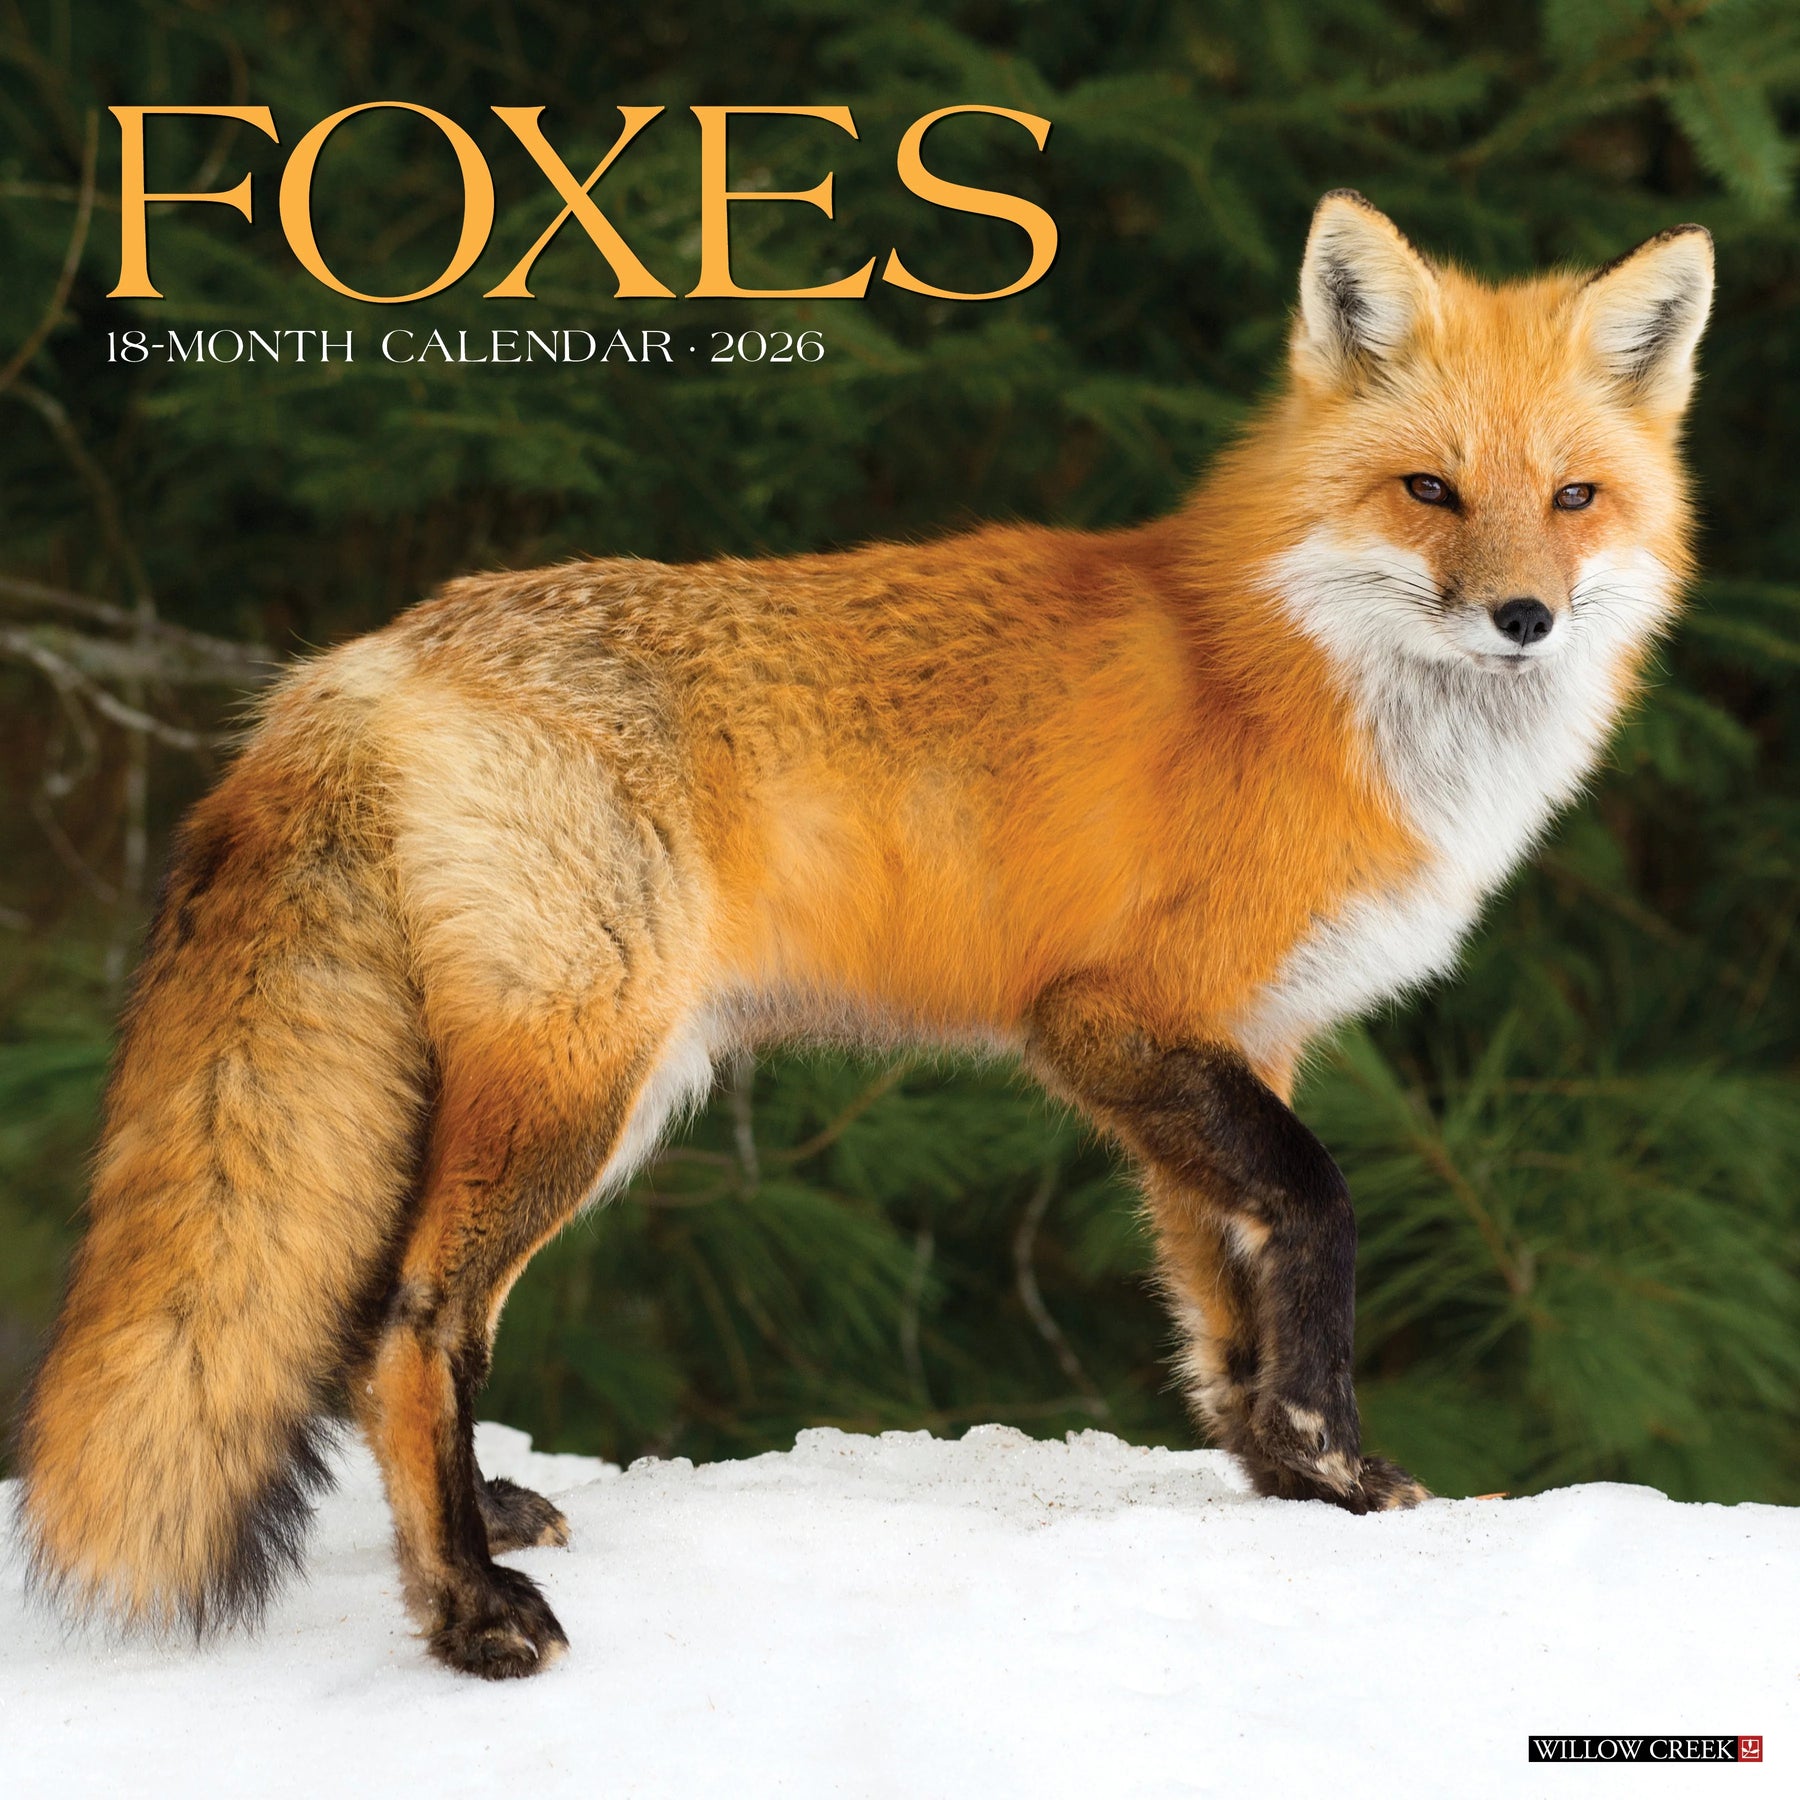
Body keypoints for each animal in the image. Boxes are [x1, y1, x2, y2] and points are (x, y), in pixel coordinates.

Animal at [14, 191, 1713, 1679]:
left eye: (1573, 501)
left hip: (576, 1090)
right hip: (577, 1085)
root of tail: (357, 662)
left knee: (395, 1326)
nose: (1522, 618)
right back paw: (471, 1614)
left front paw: (1287, 1478)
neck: (1309, 680)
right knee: (409, 1328)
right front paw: (1344, 1463)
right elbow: (1318, 1215)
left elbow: (1224, 1309)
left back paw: (473, 1528)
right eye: (1431, 492)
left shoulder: (1233, 1047)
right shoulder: (1112, 1020)